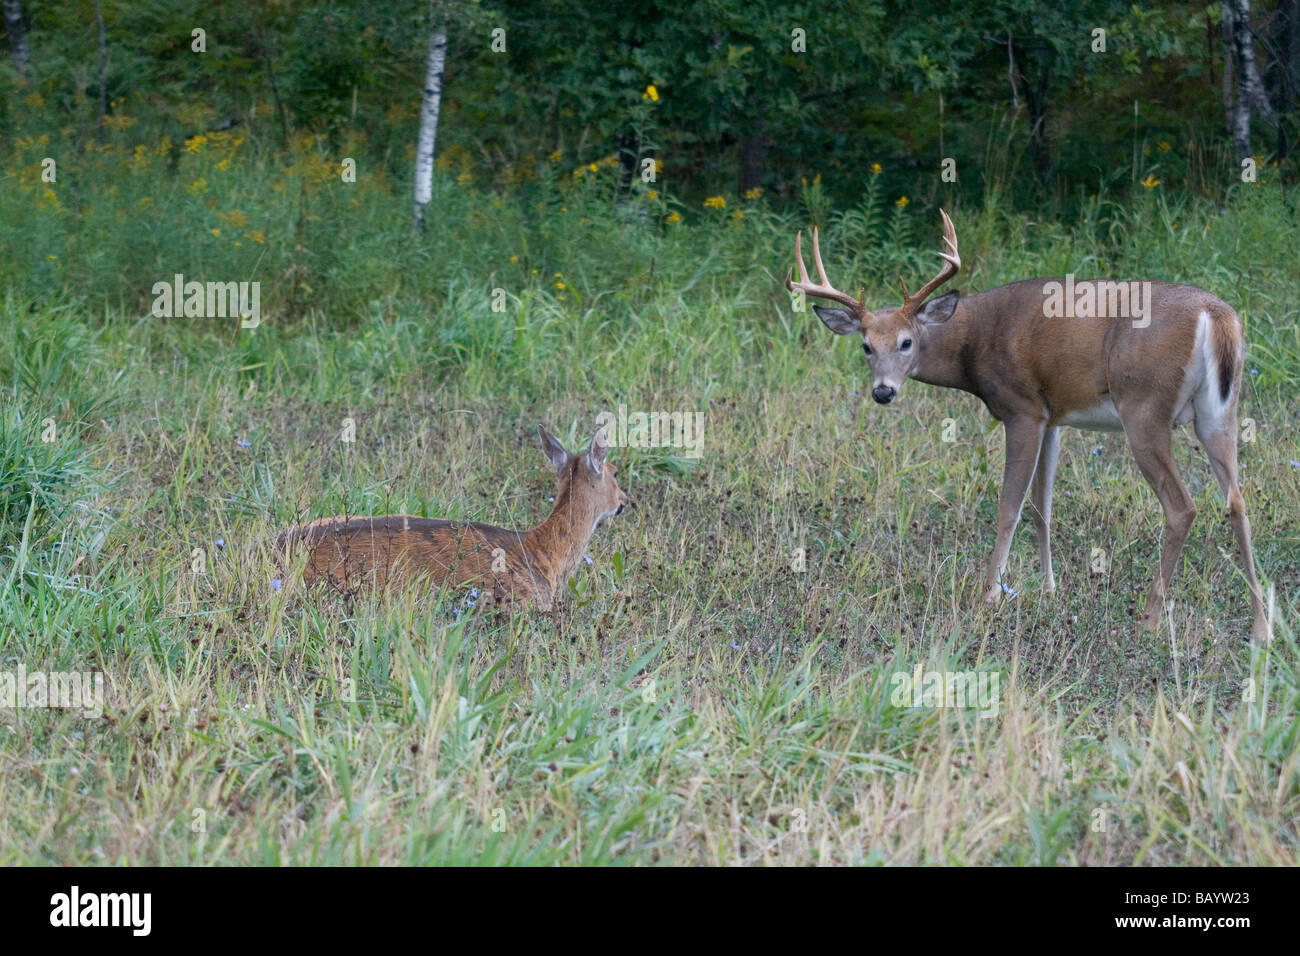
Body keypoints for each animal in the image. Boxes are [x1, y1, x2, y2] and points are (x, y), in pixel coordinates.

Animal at [787, 210, 1270, 641]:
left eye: (906, 342)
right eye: (866, 346)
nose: (883, 392)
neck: (973, 343)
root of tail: (1217, 317)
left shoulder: (1021, 408)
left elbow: (1009, 505)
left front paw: (990, 594)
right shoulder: (1052, 416)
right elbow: (1042, 506)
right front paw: (1049, 588)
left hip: (1144, 409)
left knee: (1182, 506)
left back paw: (1150, 619)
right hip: (1219, 413)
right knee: (1237, 501)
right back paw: (1262, 628)